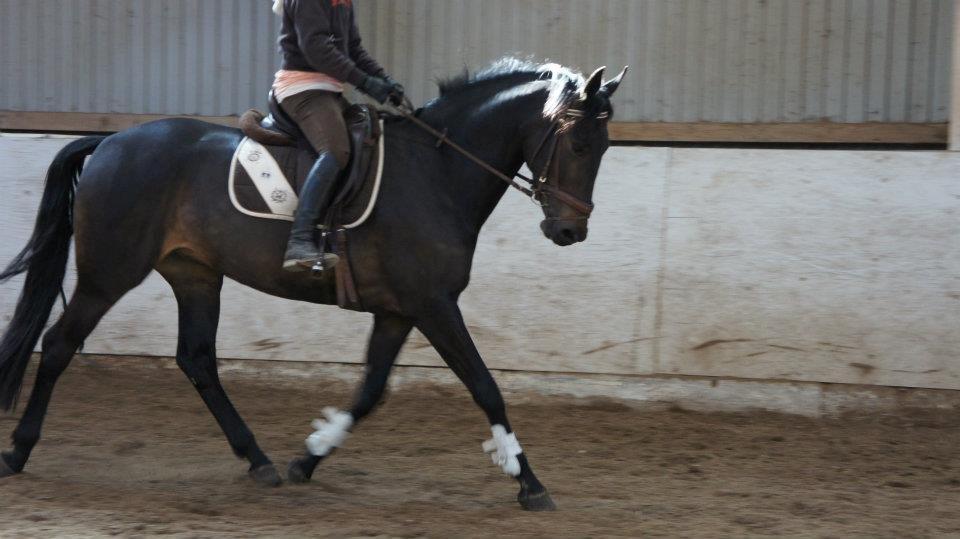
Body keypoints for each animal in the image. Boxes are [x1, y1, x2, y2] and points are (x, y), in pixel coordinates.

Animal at [0, 59, 628, 510]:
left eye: (604, 148)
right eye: (577, 144)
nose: (569, 230)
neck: (437, 172)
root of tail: (108, 142)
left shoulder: (400, 311)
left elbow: (370, 392)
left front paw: (309, 457)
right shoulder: (434, 305)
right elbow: (485, 387)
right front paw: (530, 484)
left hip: (195, 274)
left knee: (197, 359)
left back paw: (257, 459)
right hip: (110, 272)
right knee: (59, 344)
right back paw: (19, 450)